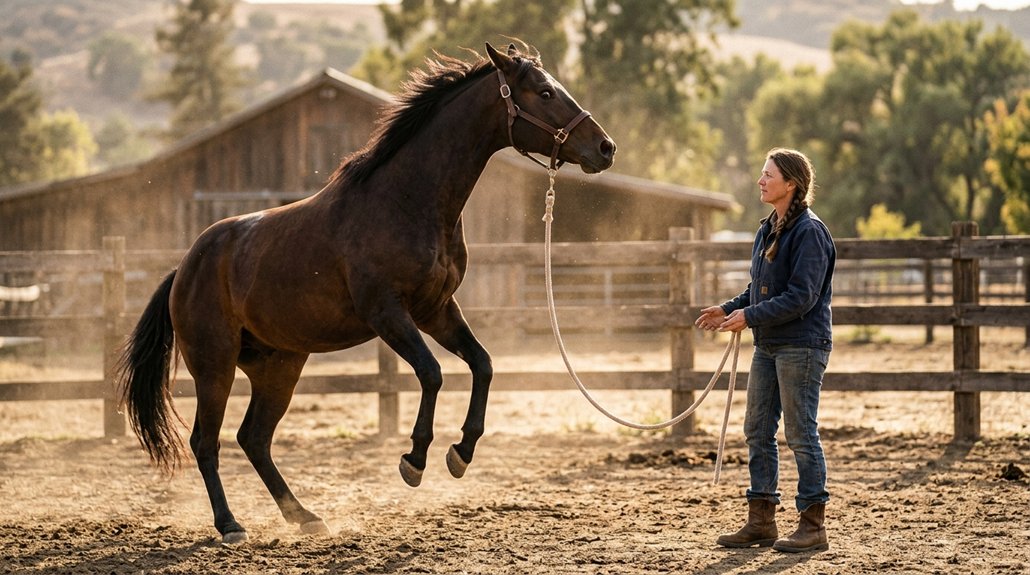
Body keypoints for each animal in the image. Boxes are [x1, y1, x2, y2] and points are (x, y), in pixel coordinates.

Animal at [118, 42, 616, 544]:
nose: (605, 147)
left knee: (253, 438)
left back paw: (305, 517)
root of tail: (185, 267)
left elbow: (483, 365)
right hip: (214, 364)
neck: (406, 202)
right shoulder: (387, 313)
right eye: (545, 92)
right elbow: (432, 373)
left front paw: (461, 452)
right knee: (207, 441)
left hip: (279, 366)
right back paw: (230, 525)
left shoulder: (437, 311)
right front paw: (414, 460)